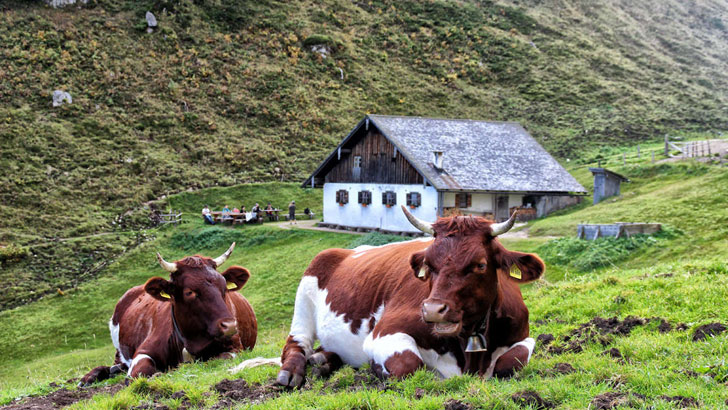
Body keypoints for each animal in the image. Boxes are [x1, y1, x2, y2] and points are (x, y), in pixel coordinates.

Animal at [79, 242, 256, 386]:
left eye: (224, 287)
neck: (190, 342)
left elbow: (219, 358)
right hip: (118, 347)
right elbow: (138, 372)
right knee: (118, 364)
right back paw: (89, 377)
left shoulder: (235, 347)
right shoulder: (143, 351)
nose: (230, 325)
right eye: (189, 292)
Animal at [276, 207, 544, 386]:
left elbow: (512, 361)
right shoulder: (382, 333)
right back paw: (291, 372)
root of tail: (348, 250)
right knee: (297, 344)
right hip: (304, 297)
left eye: (480, 264)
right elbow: (409, 364)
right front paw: (376, 369)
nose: (433, 310)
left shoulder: (523, 335)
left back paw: (324, 359)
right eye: (429, 264)